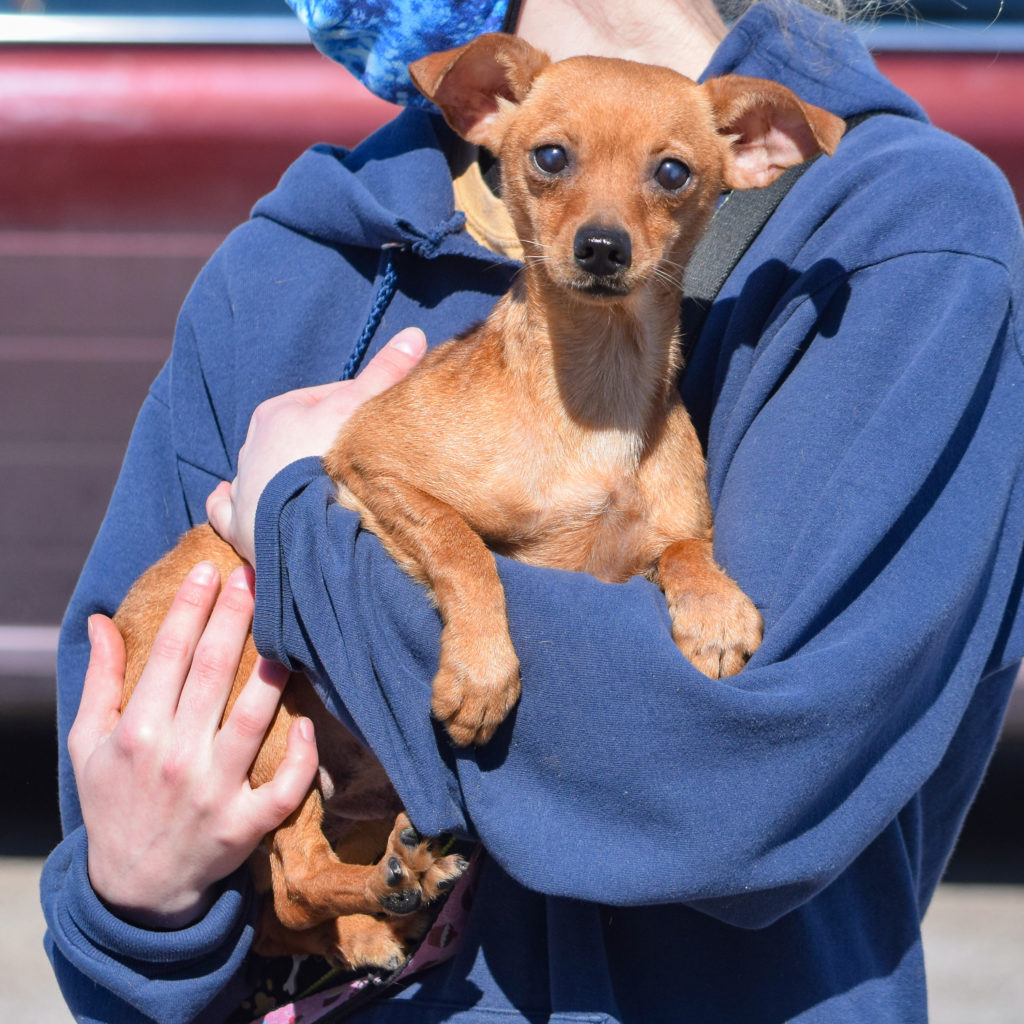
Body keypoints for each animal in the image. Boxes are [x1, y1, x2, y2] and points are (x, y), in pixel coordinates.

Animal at [116, 34, 843, 966]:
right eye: (551, 158)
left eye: (674, 173)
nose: (601, 246)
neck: (593, 394)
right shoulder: (370, 464)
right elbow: (461, 547)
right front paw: (481, 672)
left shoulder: (641, 543)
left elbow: (684, 545)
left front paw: (713, 611)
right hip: (261, 698)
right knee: (292, 876)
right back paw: (383, 893)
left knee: (293, 899)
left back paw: (383, 907)